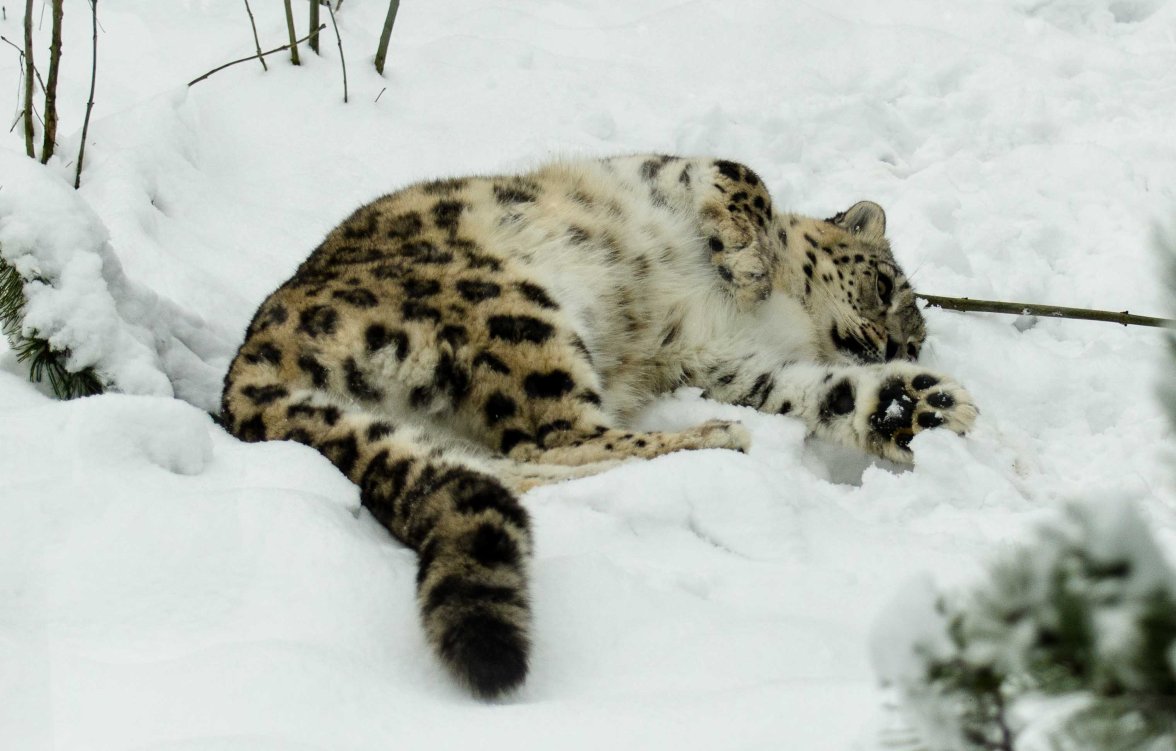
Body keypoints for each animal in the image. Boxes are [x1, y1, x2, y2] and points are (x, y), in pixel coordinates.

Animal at [220, 154, 978, 699]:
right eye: (883, 285)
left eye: (915, 341)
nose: (891, 347)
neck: (782, 326)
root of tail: (244, 374)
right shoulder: (665, 171)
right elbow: (744, 178)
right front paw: (749, 262)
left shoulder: (731, 365)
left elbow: (827, 395)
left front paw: (918, 407)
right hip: (515, 309)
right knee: (556, 435)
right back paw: (711, 437)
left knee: (526, 457)